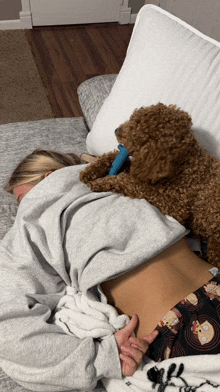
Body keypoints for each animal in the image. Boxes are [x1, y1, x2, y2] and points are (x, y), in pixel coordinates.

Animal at [80, 102, 220, 268]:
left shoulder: (173, 205)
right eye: (132, 119)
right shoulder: (144, 169)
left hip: (216, 242)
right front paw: (91, 170)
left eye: (135, 131)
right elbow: (117, 159)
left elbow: (127, 181)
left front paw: (100, 182)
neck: (184, 165)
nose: (116, 129)